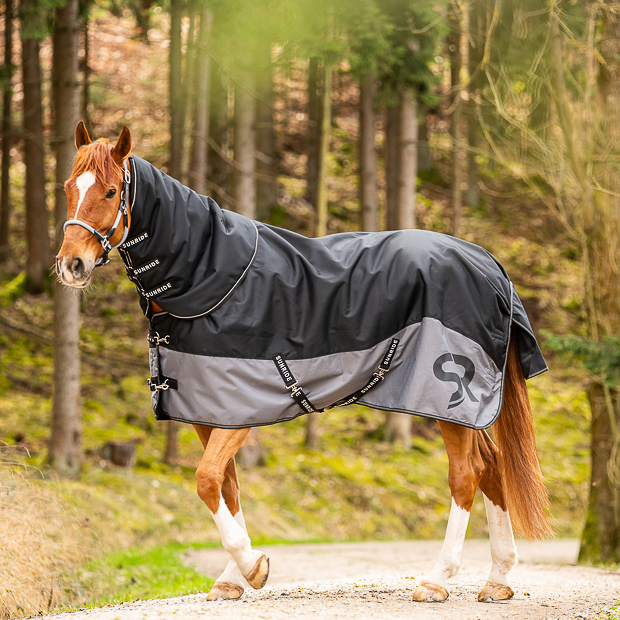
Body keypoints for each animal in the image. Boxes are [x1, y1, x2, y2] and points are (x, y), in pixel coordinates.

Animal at [57, 122, 552, 604]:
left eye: (110, 191)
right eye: (67, 187)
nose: (71, 265)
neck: (210, 278)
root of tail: (487, 261)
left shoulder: (242, 410)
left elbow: (206, 480)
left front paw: (252, 566)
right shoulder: (210, 410)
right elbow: (226, 485)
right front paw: (233, 577)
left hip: (446, 398)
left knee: (466, 475)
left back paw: (436, 580)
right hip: (463, 408)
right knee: (492, 466)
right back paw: (498, 578)